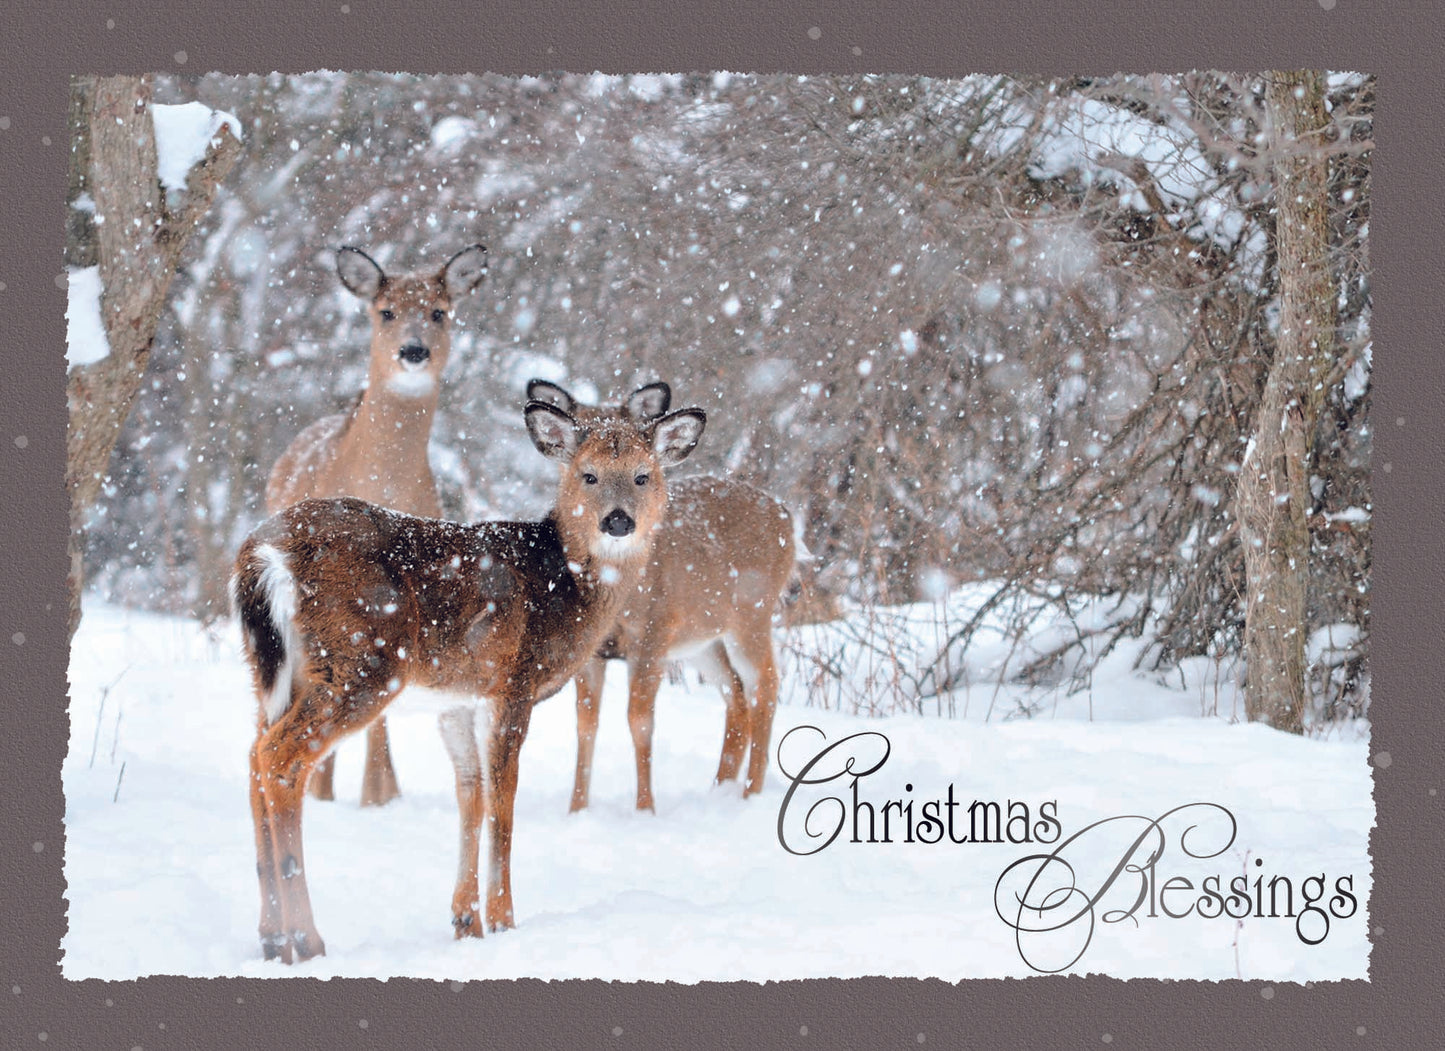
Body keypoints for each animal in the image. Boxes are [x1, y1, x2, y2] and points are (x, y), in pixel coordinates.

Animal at [229, 393, 705, 959]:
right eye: (587, 474)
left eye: (642, 476)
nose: (617, 520)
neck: (563, 590)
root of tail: (264, 555)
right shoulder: (513, 683)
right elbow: (503, 799)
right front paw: (504, 920)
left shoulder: (458, 699)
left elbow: (470, 794)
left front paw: (465, 921)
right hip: (361, 663)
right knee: (280, 758)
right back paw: (307, 937)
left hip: (272, 669)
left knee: (252, 755)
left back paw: (271, 936)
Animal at [270, 242, 491, 809]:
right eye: (386, 311)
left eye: (439, 311)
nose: (413, 351)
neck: (383, 482)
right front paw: (351, 792)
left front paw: (380, 793)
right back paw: (319, 788)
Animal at [528, 378, 803, 815]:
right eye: (588, 475)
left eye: (642, 476)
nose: (618, 519)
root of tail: (786, 516)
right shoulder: (592, 649)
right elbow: (586, 724)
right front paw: (577, 809)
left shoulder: (655, 631)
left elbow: (640, 719)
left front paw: (645, 808)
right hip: (703, 639)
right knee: (736, 695)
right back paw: (719, 789)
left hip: (752, 614)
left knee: (765, 685)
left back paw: (751, 794)